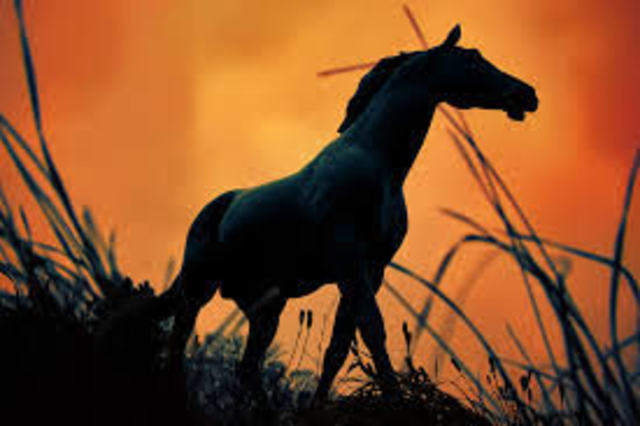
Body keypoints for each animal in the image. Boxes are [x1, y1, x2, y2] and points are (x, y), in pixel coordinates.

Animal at [159, 25, 538, 401]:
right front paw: (395, 399)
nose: (527, 93)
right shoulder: (349, 263)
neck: (378, 163)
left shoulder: (371, 269)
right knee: (178, 350)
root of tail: (212, 212)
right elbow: (373, 330)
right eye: (473, 58)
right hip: (197, 289)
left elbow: (339, 347)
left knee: (248, 367)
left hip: (266, 307)